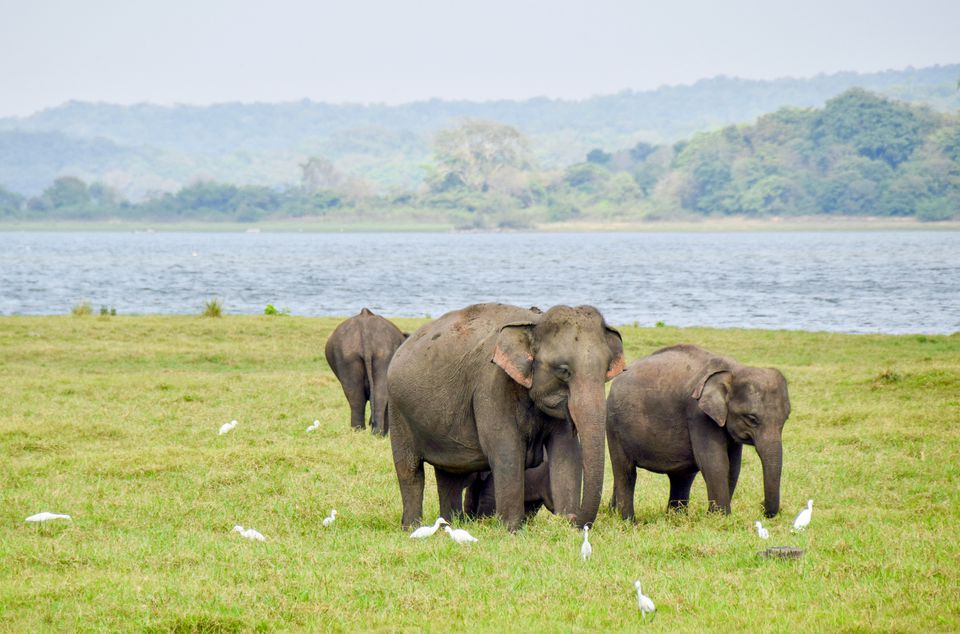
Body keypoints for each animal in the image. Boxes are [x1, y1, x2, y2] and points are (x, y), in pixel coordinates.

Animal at [386, 302, 628, 528]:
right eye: (563, 370)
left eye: (606, 370)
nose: (574, 519)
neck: (534, 322)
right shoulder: (491, 386)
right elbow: (505, 448)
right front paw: (512, 529)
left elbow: (566, 451)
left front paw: (564, 524)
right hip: (398, 413)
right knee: (410, 471)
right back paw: (412, 527)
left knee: (450, 476)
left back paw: (449, 524)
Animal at [608, 346, 788, 520]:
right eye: (751, 418)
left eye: (785, 419)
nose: (762, 507)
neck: (734, 370)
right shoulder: (698, 414)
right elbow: (715, 462)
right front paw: (719, 518)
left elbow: (734, 465)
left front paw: (714, 517)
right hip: (614, 427)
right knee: (626, 472)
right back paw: (629, 521)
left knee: (681, 477)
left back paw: (674, 519)